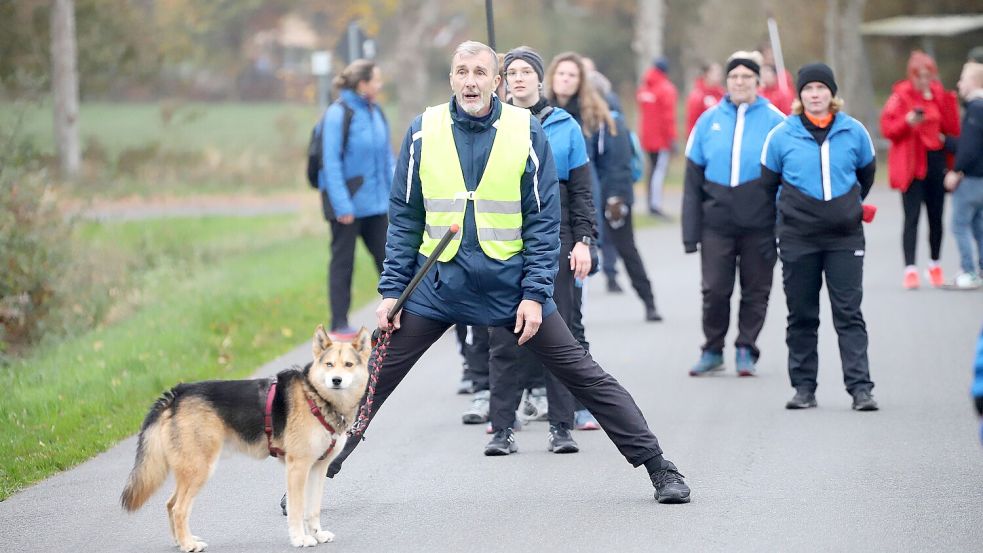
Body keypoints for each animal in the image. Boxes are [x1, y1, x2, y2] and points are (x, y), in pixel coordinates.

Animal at [120, 324, 372, 548]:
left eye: (348, 365)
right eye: (329, 364)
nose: (336, 380)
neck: (315, 397)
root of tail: (177, 394)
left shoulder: (318, 469)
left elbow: (313, 509)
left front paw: (317, 535)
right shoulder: (297, 467)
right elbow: (297, 509)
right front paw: (300, 539)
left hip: (189, 469)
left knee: (170, 504)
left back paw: (180, 542)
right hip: (199, 468)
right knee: (178, 508)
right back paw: (189, 544)